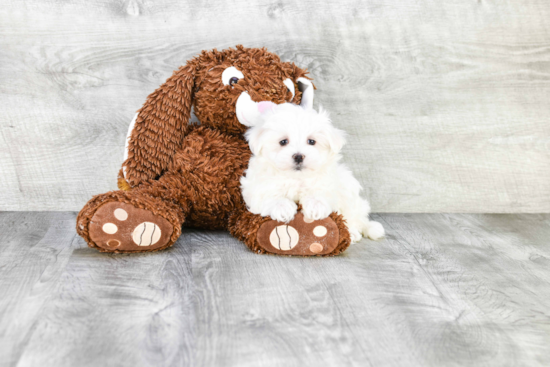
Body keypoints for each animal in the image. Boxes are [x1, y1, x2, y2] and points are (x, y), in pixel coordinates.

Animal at [244, 102, 386, 243]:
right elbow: (267, 194)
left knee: (354, 217)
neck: (297, 178)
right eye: (283, 142)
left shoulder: (330, 183)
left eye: (311, 141)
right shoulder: (256, 187)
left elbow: (321, 191)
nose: (298, 156)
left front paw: (316, 205)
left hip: (349, 189)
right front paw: (282, 207)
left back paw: (353, 232)